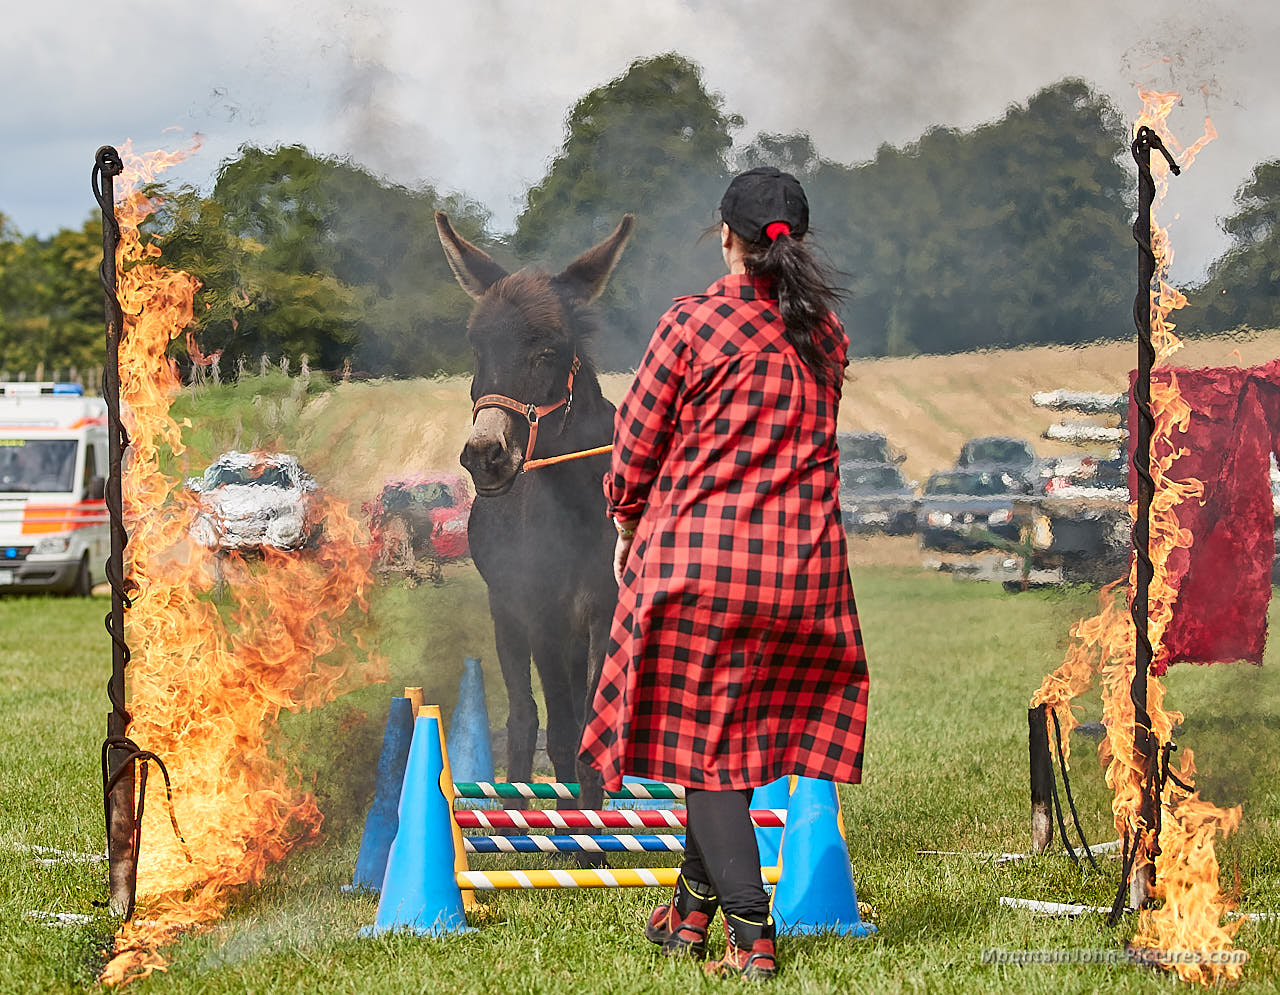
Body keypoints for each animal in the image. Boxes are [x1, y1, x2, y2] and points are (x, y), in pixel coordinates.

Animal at [436, 211, 632, 815]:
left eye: (547, 351)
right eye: (478, 351)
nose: (484, 455)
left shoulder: (605, 611)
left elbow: (591, 735)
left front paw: (592, 820)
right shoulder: (541, 613)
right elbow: (562, 731)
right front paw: (574, 830)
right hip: (508, 612)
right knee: (525, 718)